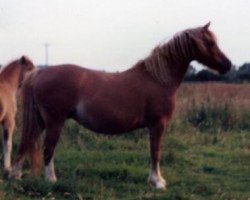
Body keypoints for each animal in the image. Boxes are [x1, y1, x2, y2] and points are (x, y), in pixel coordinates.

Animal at [11, 23, 230, 189]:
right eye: (209, 42)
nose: (227, 65)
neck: (158, 78)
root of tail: (40, 72)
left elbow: (153, 152)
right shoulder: (157, 125)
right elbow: (155, 152)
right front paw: (157, 182)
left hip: (40, 121)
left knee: (26, 144)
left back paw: (16, 176)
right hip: (54, 122)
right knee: (48, 150)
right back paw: (51, 180)